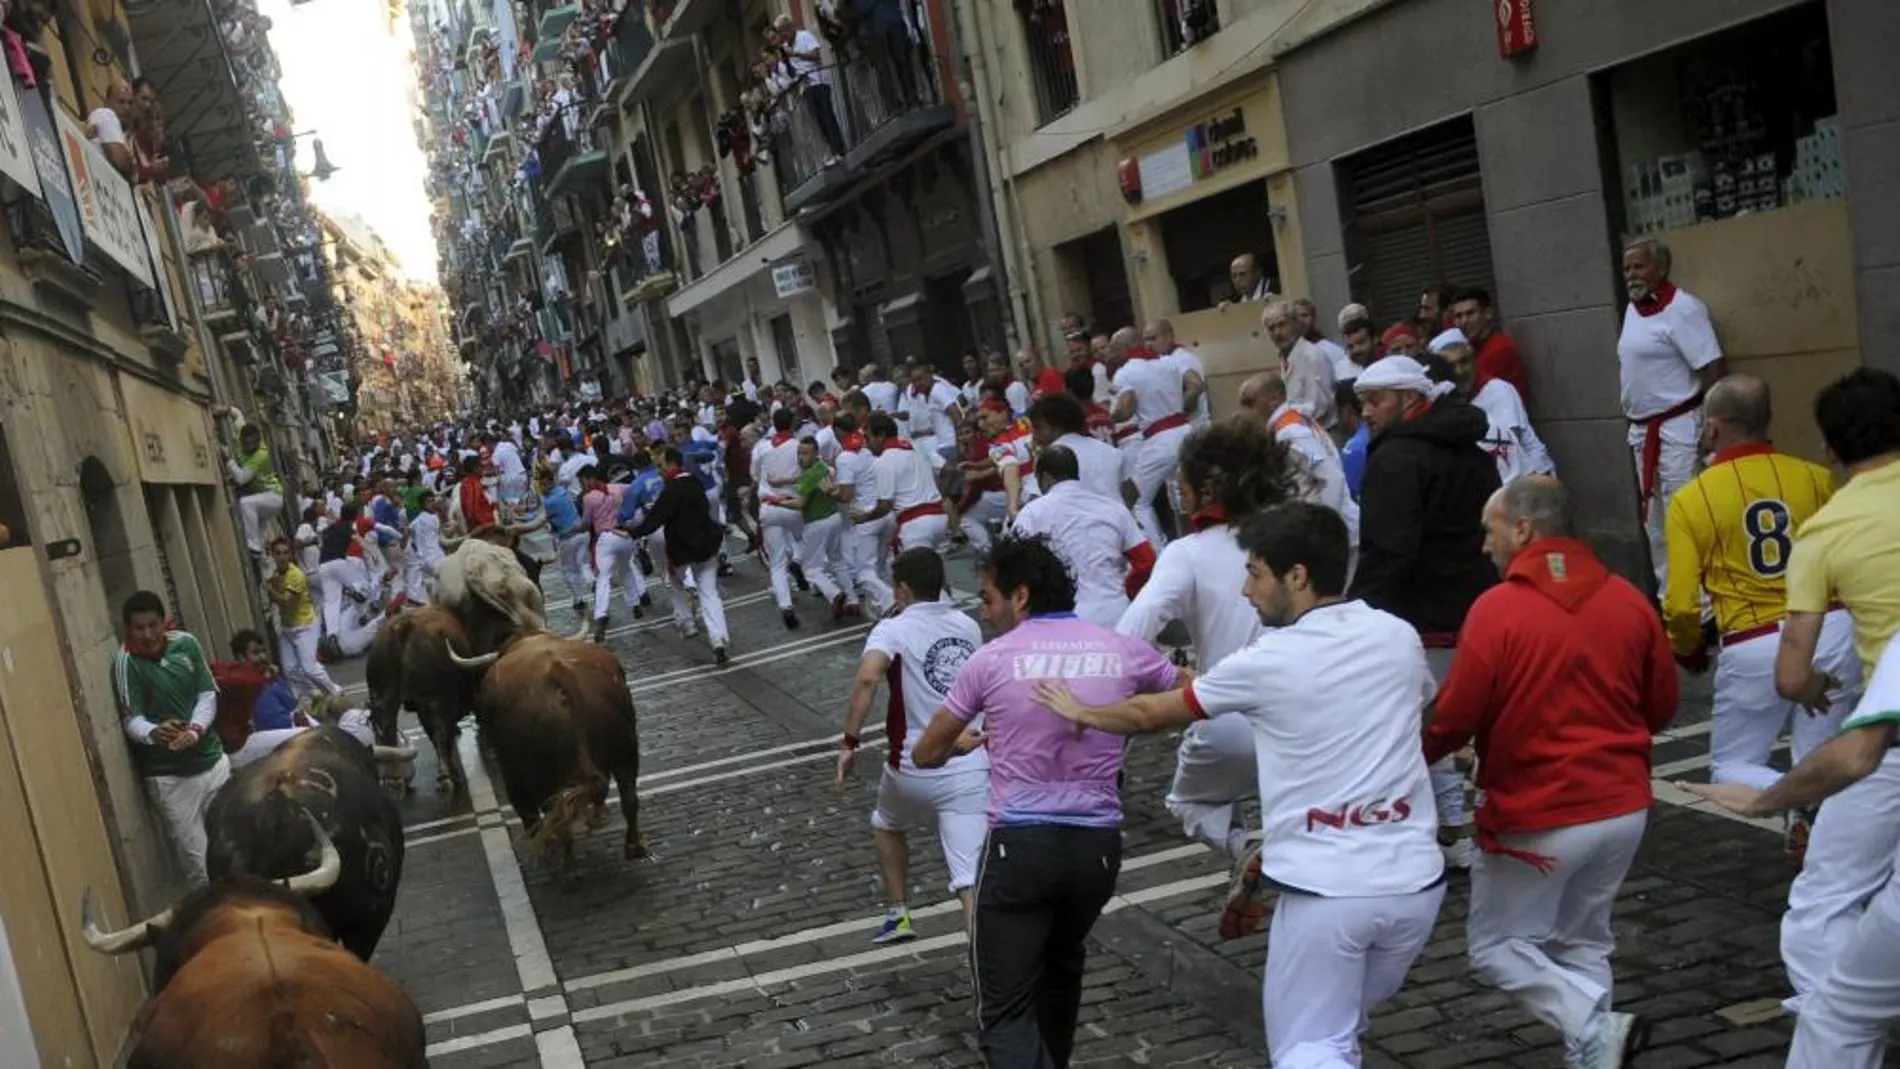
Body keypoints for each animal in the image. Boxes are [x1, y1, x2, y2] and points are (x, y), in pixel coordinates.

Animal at [448, 634, 649, 869]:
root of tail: (558, 673)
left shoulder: (514, 773)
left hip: (543, 772)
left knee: (556, 815)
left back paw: (569, 867)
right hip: (625, 750)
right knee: (629, 797)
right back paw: (634, 846)